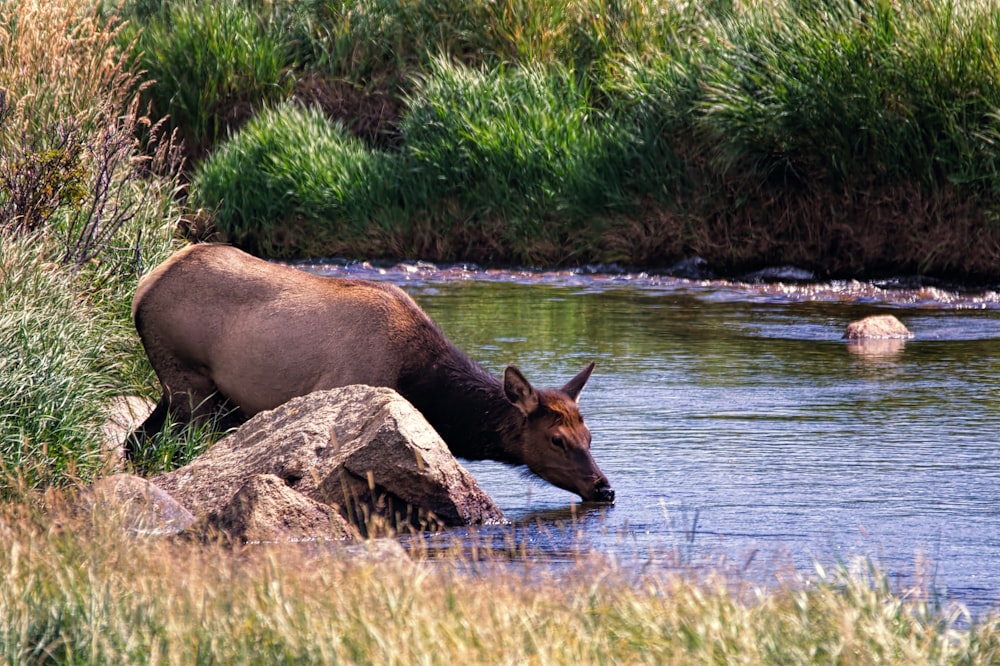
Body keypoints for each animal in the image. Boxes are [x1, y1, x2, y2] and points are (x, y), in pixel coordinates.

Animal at [129, 246, 612, 500]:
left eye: (590, 437)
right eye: (557, 439)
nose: (604, 488)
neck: (421, 383)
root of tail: (142, 288)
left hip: (175, 390)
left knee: (136, 440)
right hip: (189, 383)